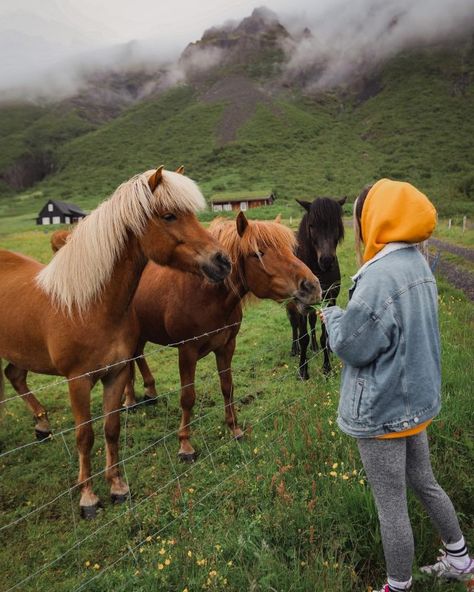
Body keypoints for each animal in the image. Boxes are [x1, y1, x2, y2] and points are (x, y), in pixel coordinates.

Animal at [0, 166, 230, 520]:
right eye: (169, 215)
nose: (222, 261)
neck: (89, 306)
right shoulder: (78, 381)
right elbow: (85, 435)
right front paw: (88, 498)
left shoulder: (117, 373)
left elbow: (111, 429)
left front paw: (118, 487)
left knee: (15, 375)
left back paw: (42, 426)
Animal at [123, 213, 322, 462]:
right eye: (257, 253)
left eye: (291, 249)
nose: (312, 286)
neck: (204, 293)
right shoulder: (186, 352)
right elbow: (187, 396)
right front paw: (185, 445)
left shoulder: (227, 346)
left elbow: (227, 387)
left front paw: (234, 428)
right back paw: (130, 400)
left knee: (137, 355)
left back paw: (149, 392)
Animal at [286, 195, 346, 380]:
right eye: (312, 225)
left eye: (336, 224)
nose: (326, 261)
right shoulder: (301, 303)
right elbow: (302, 334)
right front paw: (303, 371)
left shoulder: (329, 299)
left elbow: (324, 334)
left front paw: (327, 367)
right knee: (294, 323)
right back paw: (295, 349)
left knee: (312, 322)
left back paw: (314, 347)